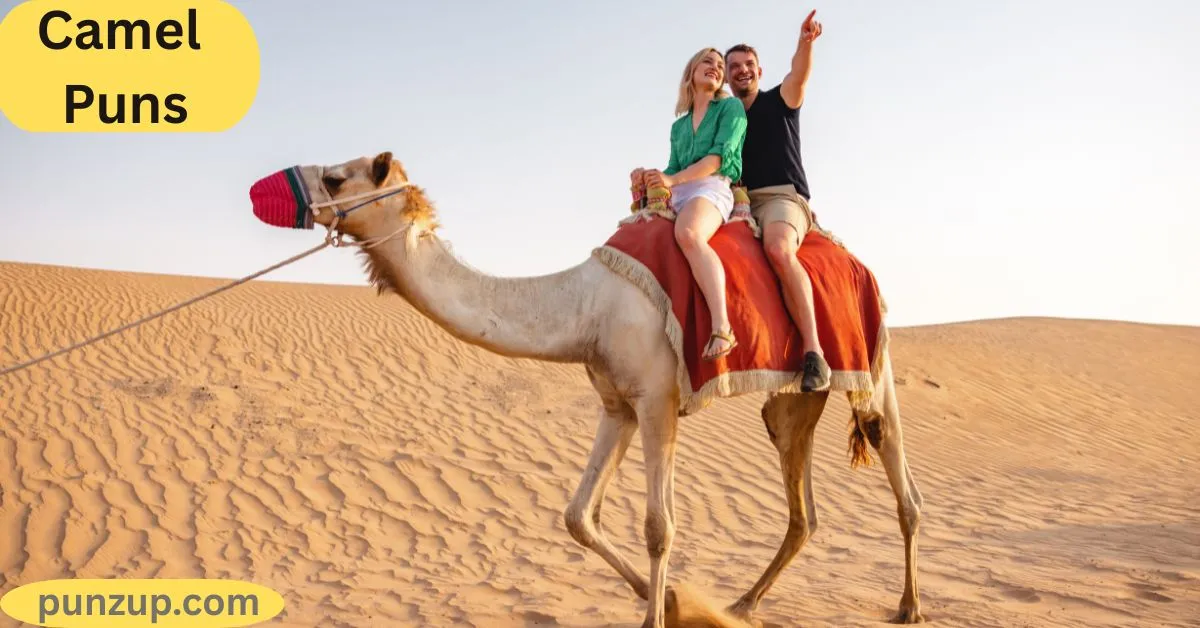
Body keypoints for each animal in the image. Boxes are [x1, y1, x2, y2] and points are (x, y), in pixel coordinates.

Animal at [280, 152, 925, 628]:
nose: (293, 191)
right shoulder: (618, 404)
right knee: (802, 507)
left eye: (337, 176)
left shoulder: (658, 400)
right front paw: (672, 600)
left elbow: (659, 527)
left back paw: (910, 605)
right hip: (793, 399)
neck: (584, 306)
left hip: (873, 360)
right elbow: (576, 516)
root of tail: (856, 261)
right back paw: (744, 603)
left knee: (897, 470)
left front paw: (659, 613)